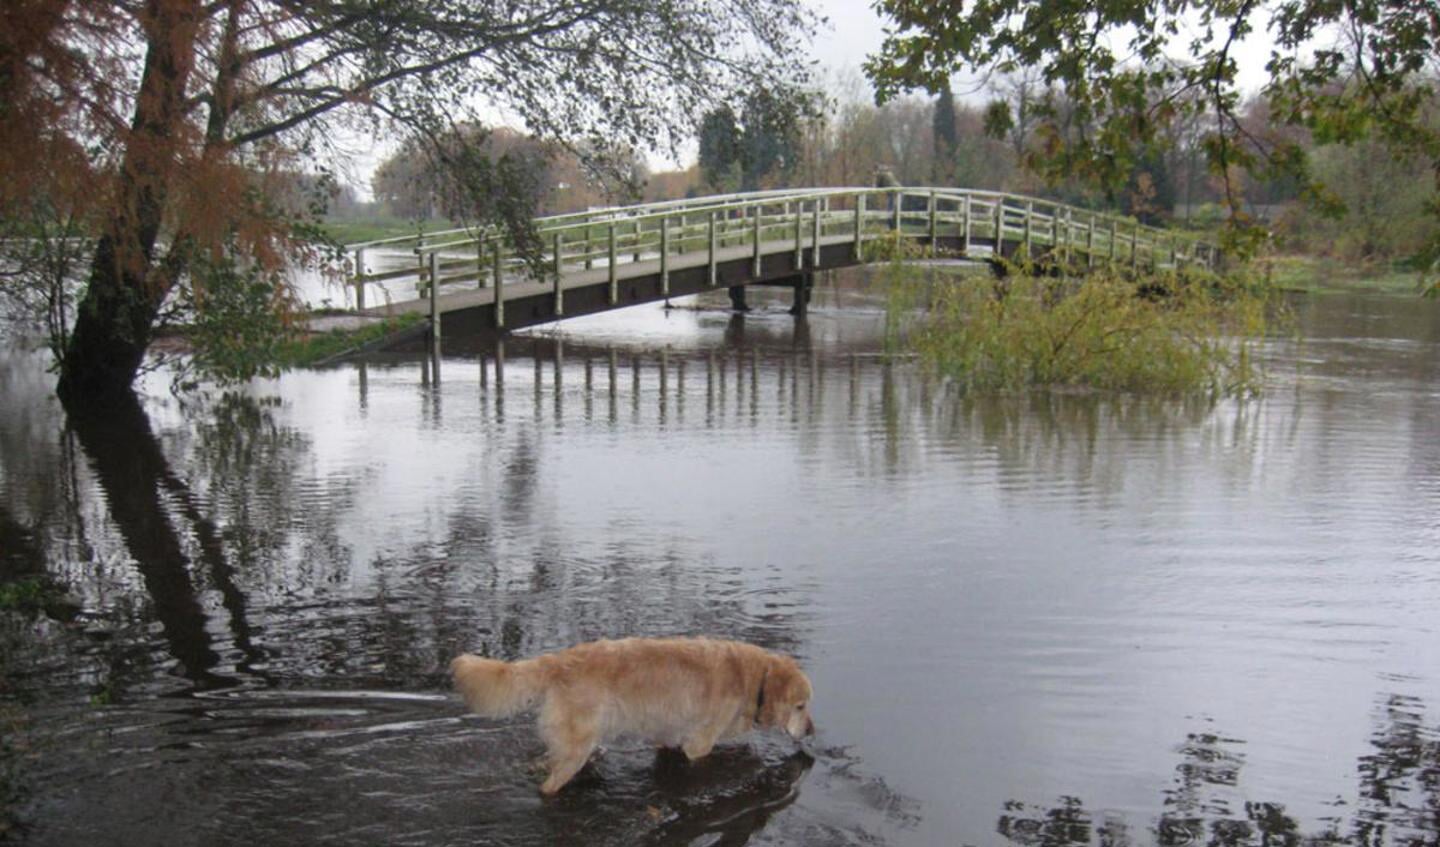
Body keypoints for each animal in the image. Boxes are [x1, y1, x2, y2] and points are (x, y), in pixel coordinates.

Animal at [449, 633, 817, 795]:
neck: (752, 679)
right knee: (548, 787)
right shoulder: (699, 744)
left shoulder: (666, 736)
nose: (812, 732)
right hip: (575, 750)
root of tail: (561, 660)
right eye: (800, 706)